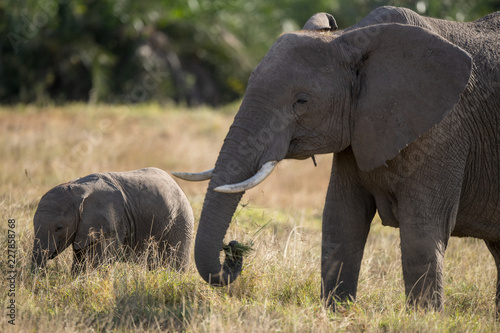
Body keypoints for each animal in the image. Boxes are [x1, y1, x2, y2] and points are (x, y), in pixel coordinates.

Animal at [31, 166, 193, 272]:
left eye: (59, 228)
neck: (77, 190)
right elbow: (80, 257)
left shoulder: (113, 221)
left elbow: (97, 261)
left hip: (180, 219)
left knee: (174, 262)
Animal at [174, 6, 500, 310]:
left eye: (301, 101)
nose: (233, 249)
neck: (350, 36)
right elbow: (342, 219)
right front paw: (337, 312)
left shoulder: (444, 130)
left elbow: (421, 231)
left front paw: (423, 319)